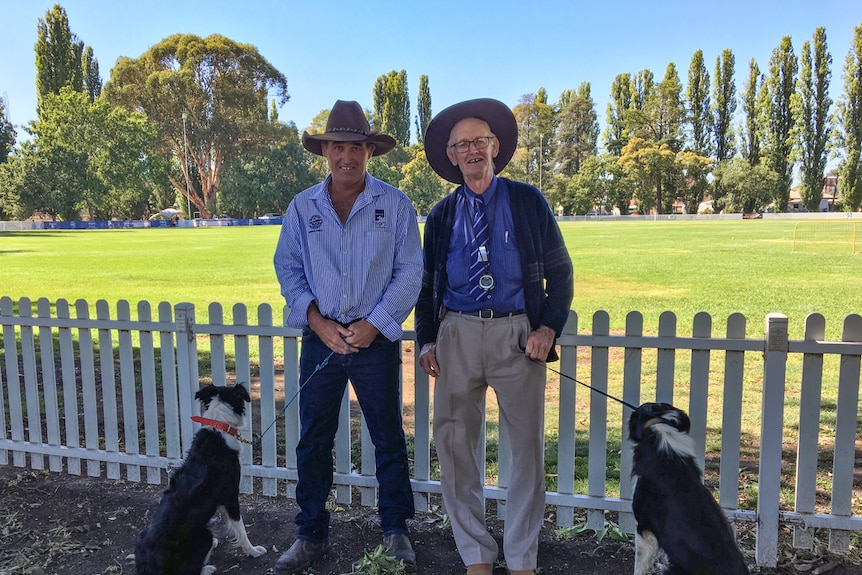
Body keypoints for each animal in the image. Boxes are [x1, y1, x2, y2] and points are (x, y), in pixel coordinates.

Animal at [135, 382, 266, 575]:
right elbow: (241, 529)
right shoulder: (230, 495)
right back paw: (208, 568)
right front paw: (253, 550)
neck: (219, 425)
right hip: (204, 535)